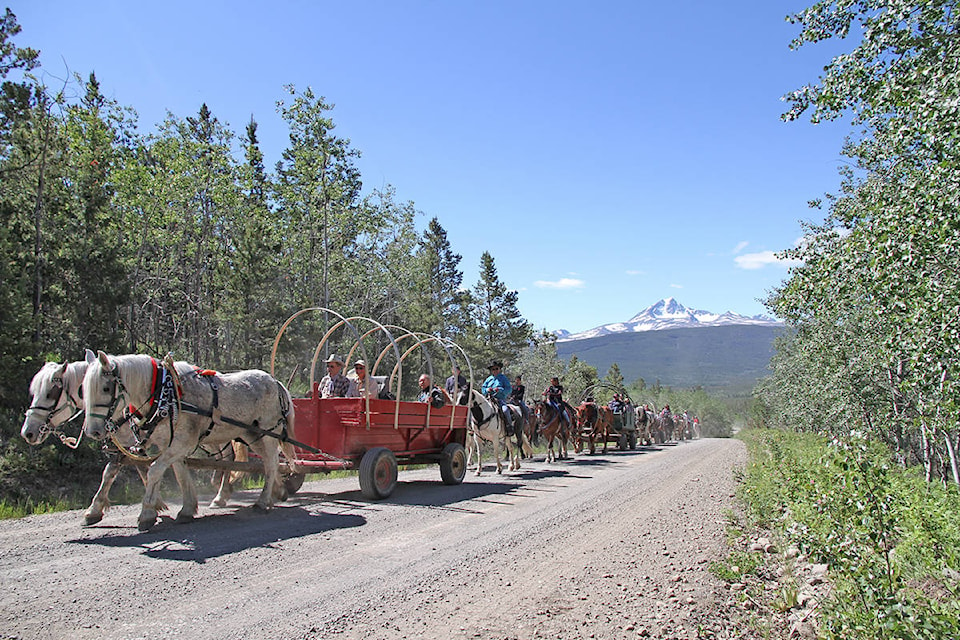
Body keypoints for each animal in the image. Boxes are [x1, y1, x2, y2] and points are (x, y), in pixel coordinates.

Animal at [84, 350, 298, 528]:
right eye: (84, 390)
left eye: (105, 388)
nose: (93, 431)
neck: (164, 394)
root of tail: (274, 381)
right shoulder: (171, 444)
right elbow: (180, 474)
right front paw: (186, 510)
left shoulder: (181, 442)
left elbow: (154, 471)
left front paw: (146, 514)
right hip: (251, 434)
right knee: (267, 462)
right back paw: (275, 493)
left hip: (268, 432)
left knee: (271, 463)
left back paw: (262, 501)